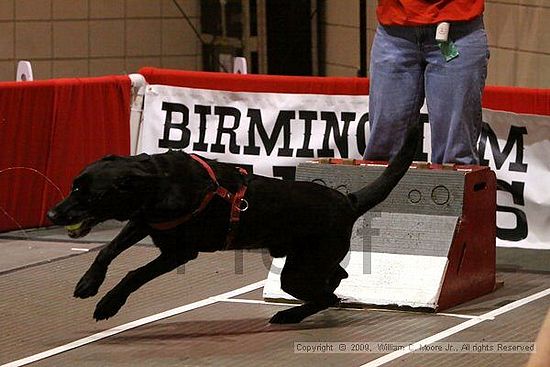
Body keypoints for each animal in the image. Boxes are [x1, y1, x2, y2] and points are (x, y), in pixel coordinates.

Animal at [48, 122, 418, 324]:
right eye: (73, 185)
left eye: (87, 194)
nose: (52, 214)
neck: (159, 183)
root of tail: (348, 200)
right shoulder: (144, 223)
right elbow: (107, 251)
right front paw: (88, 284)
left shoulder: (179, 252)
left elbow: (133, 274)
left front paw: (109, 303)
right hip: (306, 262)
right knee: (336, 279)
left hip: (298, 270)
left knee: (329, 296)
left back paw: (288, 315)